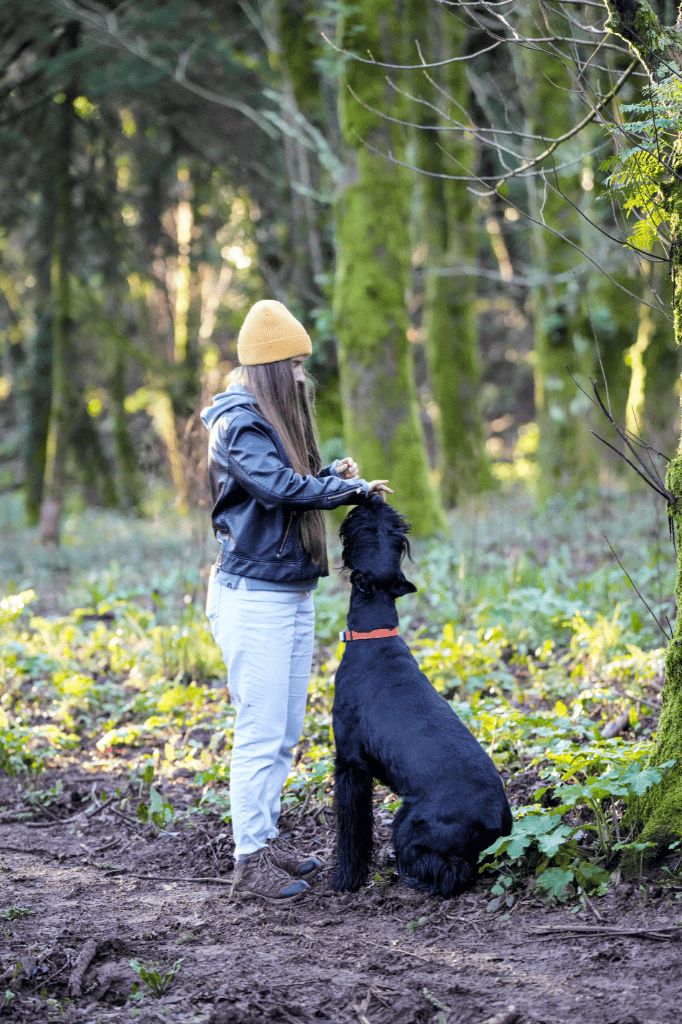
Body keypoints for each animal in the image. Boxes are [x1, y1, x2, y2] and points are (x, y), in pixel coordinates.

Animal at [329, 497, 509, 897]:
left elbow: (353, 830)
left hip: (408, 822)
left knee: (450, 871)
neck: (375, 634)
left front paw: (347, 878)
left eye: (370, 530)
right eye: (391, 532)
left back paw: (417, 879)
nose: (374, 498)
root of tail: (500, 822)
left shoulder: (350, 764)